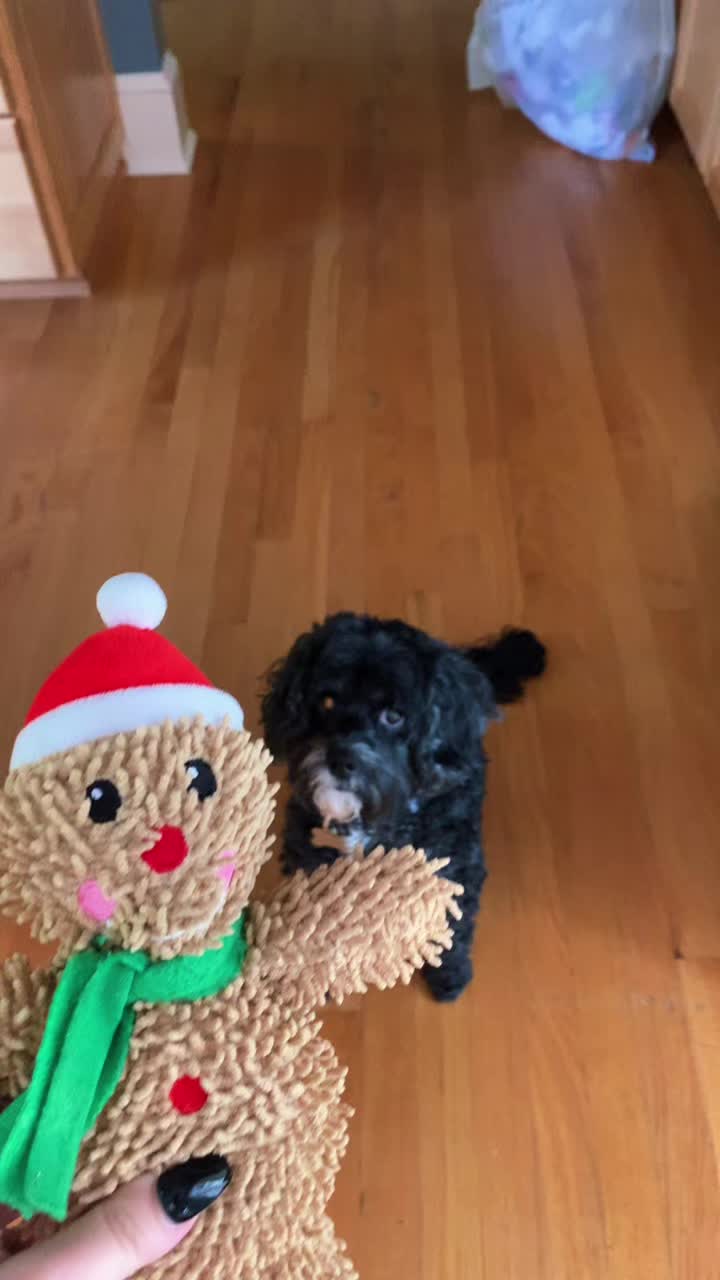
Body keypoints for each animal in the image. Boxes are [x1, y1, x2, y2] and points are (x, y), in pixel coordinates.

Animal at [261, 614, 546, 1002]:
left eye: (394, 716)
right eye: (328, 701)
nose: (340, 759)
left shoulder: (457, 864)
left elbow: (454, 923)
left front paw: (449, 974)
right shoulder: (308, 857)